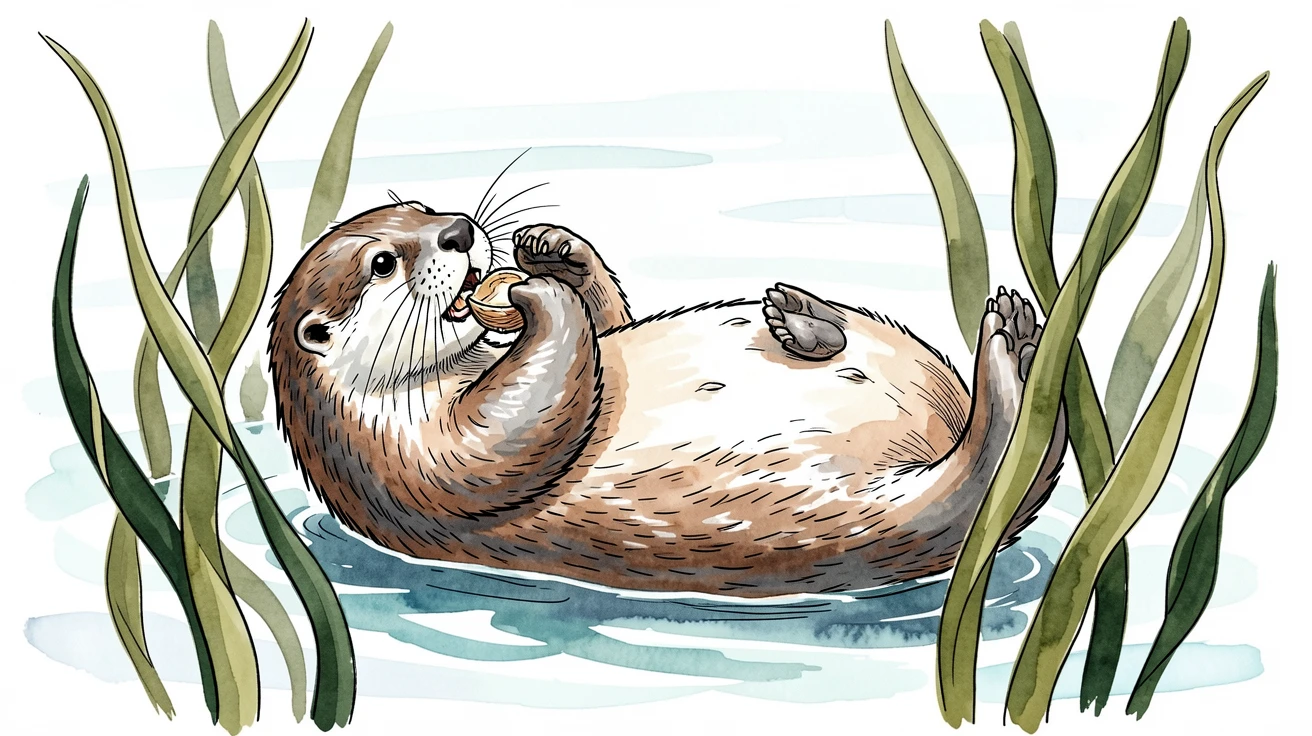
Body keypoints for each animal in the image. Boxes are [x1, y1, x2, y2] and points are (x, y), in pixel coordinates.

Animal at [268, 200, 1065, 598]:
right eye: (383, 261)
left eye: (423, 208)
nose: (461, 232)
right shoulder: (405, 465)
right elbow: (509, 438)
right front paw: (538, 297)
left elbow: (609, 322)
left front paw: (551, 248)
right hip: (880, 522)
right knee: (989, 471)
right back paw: (1011, 346)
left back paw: (806, 316)